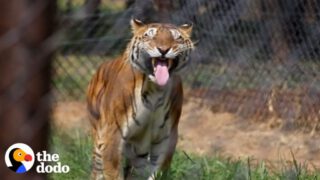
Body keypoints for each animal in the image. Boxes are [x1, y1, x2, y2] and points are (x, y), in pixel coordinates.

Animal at [86, 19, 194, 179]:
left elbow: (158, 171)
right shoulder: (113, 134)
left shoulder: (166, 138)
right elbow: (113, 172)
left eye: (177, 38)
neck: (156, 90)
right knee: (97, 169)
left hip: (139, 153)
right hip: (99, 138)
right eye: (149, 36)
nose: (163, 50)